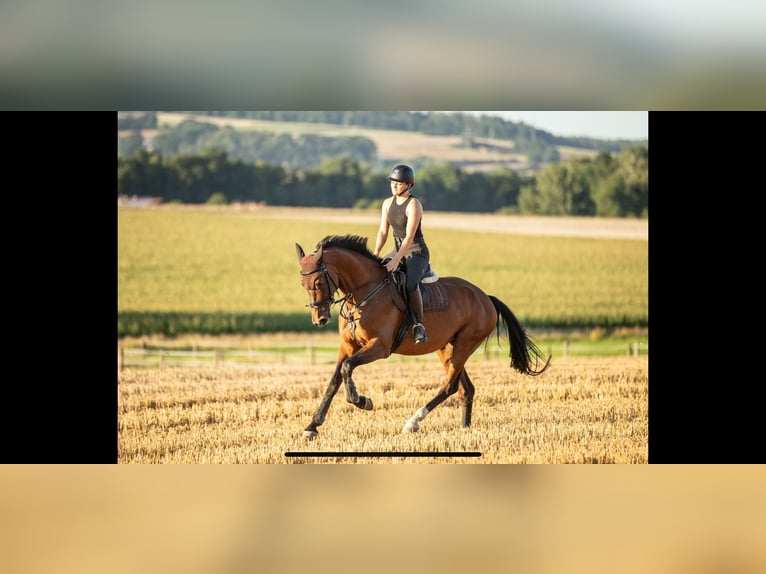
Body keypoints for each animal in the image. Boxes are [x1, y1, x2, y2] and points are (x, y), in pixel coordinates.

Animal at [295, 234, 551, 441]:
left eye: (318, 281)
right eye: (303, 284)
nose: (320, 319)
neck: (363, 294)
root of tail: (485, 297)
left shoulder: (380, 346)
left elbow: (347, 368)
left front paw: (361, 401)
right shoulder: (347, 346)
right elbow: (334, 381)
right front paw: (312, 427)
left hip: (465, 344)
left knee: (450, 386)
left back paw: (413, 422)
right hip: (446, 347)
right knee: (465, 388)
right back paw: (465, 429)